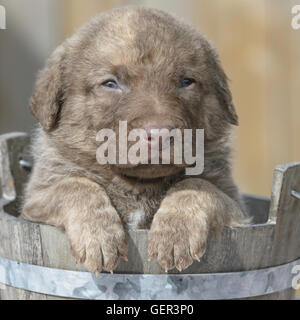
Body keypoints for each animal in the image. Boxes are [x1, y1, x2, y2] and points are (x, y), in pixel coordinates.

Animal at [21, 6, 248, 274]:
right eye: (110, 83)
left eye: (186, 82)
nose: (159, 134)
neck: (137, 184)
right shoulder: (36, 200)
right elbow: (75, 186)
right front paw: (99, 237)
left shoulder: (236, 206)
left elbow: (197, 186)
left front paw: (175, 234)